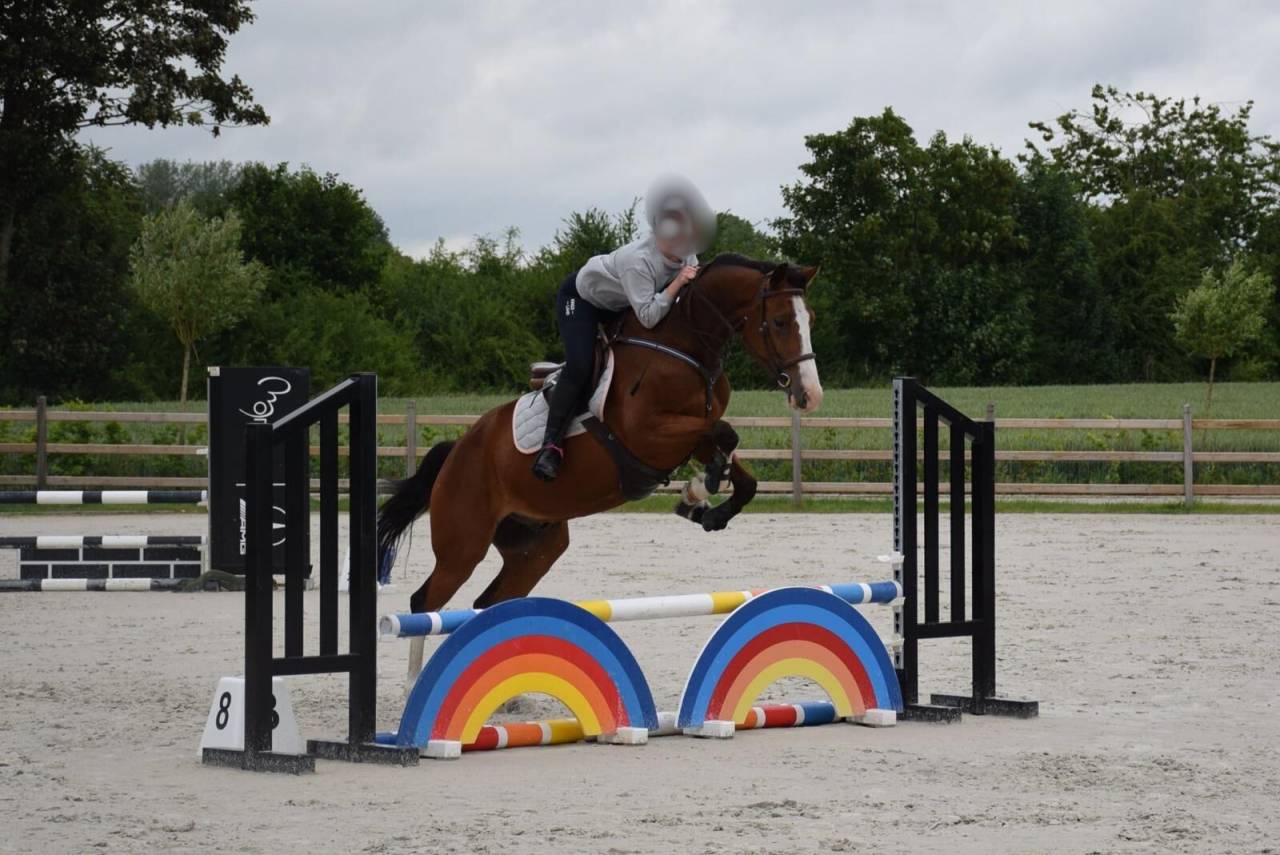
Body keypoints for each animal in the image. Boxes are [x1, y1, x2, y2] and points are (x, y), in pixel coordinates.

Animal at [376, 253, 823, 624]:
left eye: (811, 320)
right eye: (780, 321)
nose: (810, 395)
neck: (686, 348)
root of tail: (457, 451)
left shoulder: (691, 433)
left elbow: (739, 467)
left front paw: (702, 502)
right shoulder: (647, 435)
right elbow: (725, 433)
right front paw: (703, 487)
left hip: (535, 546)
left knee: (489, 602)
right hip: (463, 545)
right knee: (424, 602)